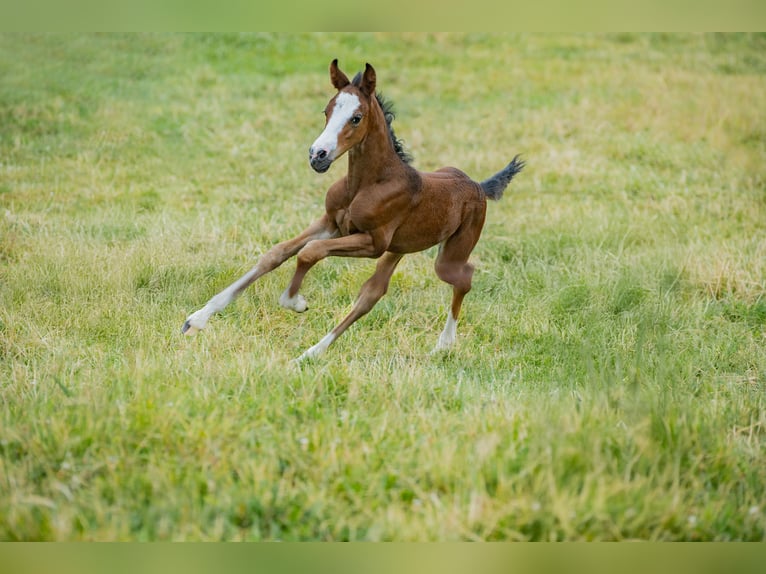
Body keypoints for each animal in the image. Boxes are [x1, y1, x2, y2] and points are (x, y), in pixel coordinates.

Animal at [182, 59, 524, 361]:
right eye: (326, 110)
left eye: (356, 117)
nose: (317, 155)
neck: (366, 183)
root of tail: (478, 185)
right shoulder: (331, 223)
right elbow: (276, 254)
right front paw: (196, 319)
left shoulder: (372, 243)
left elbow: (310, 251)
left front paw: (295, 302)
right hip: (398, 250)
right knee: (371, 295)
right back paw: (310, 354)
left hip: (446, 256)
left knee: (465, 276)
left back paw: (443, 345)